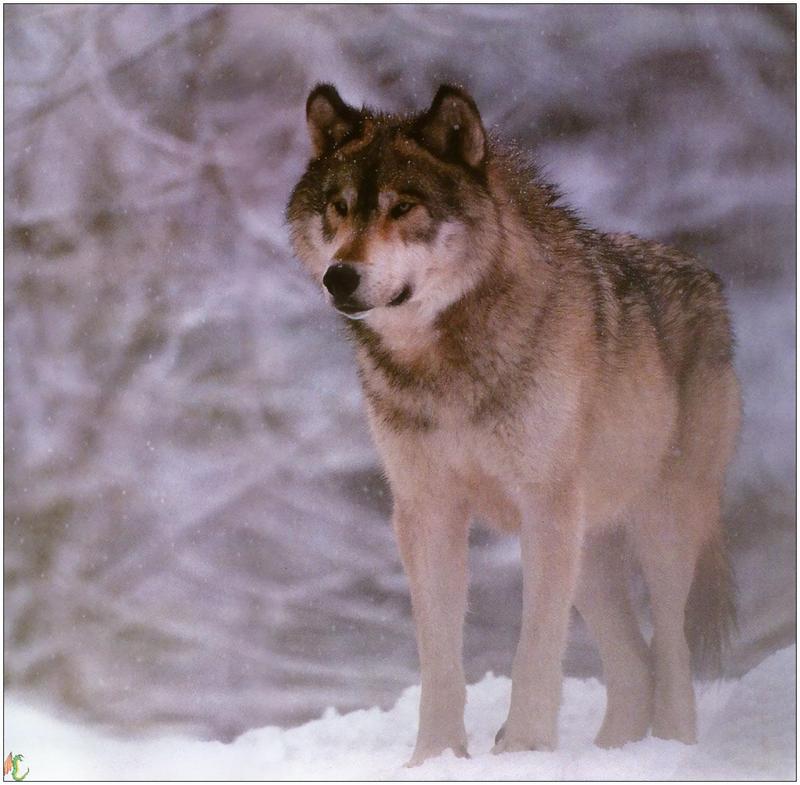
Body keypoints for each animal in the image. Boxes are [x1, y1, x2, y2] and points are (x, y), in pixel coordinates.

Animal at [284, 82, 740, 764]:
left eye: (403, 207)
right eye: (338, 208)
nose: (338, 275)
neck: (446, 364)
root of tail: (706, 275)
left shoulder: (543, 505)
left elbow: (535, 650)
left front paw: (523, 748)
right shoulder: (425, 509)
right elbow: (439, 660)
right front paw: (434, 759)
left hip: (659, 525)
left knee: (672, 652)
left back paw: (673, 751)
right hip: (590, 550)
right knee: (636, 664)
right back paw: (613, 756)